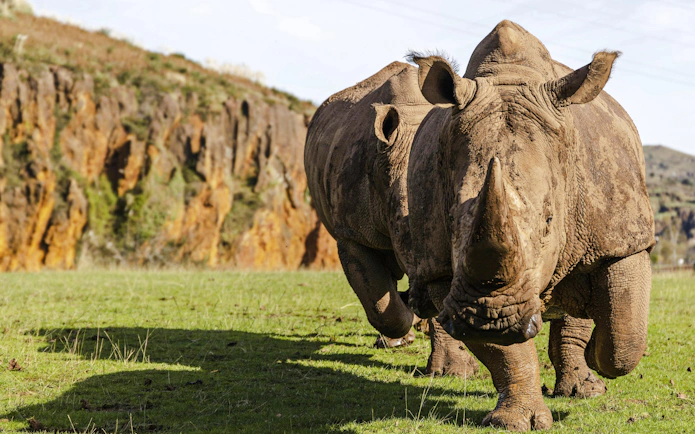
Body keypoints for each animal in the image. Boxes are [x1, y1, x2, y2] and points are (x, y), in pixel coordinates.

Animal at [406, 20, 655, 430]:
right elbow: (506, 353)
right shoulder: (445, 272)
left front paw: (595, 352)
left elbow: (624, 335)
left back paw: (585, 385)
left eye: (550, 220)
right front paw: (514, 421)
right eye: (452, 220)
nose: (489, 318)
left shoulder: (623, 238)